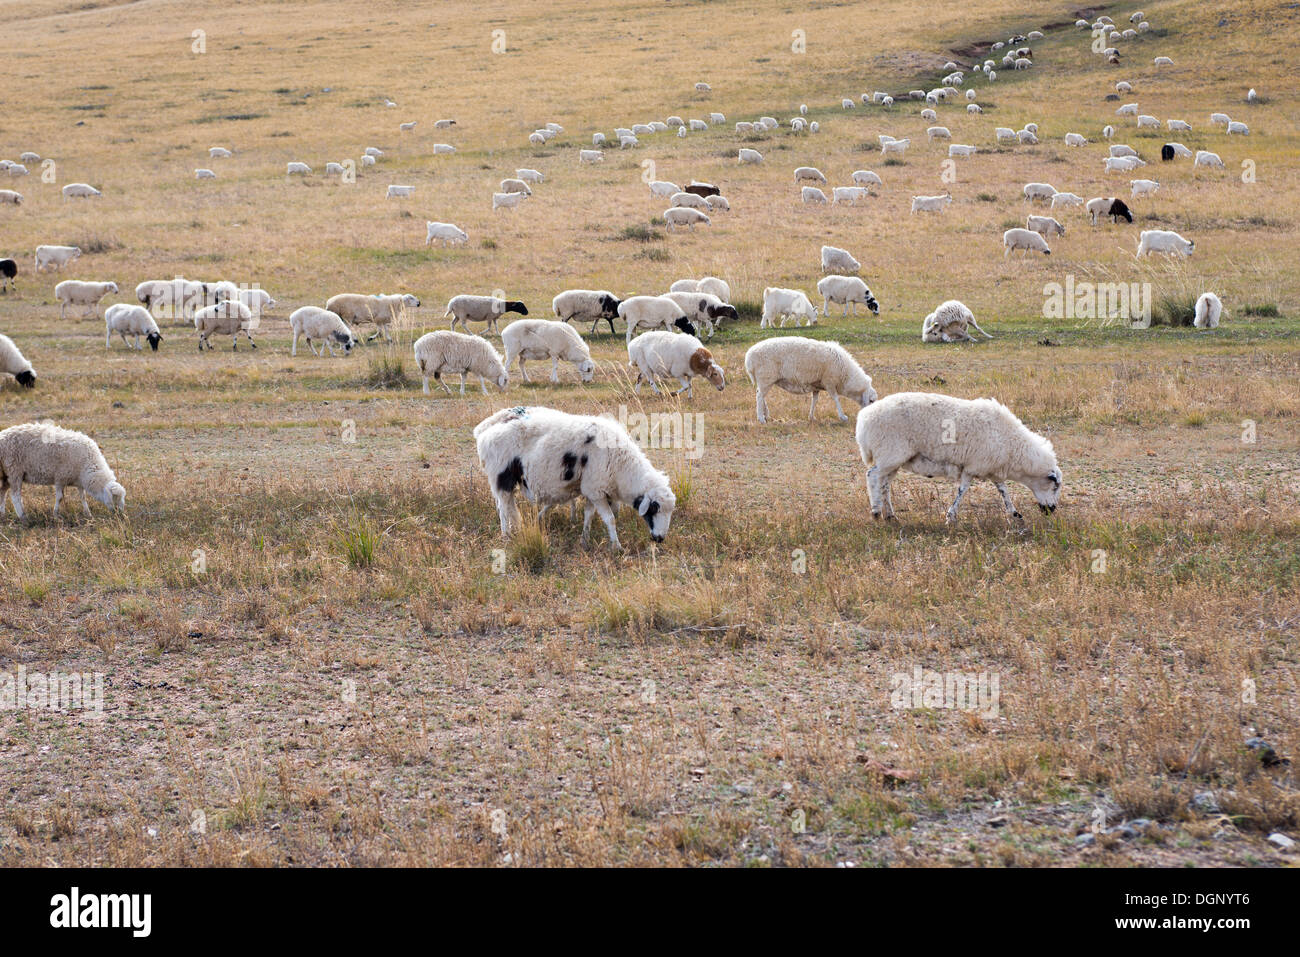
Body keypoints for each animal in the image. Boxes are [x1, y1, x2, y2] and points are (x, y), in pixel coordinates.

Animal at [473, 406, 675, 549]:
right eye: (654, 508)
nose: (660, 538)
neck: (622, 466)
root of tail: (484, 432)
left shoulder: (591, 490)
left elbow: (589, 515)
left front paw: (585, 539)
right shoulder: (596, 490)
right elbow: (610, 519)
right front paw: (617, 546)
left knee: (505, 506)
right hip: (501, 476)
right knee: (503, 509)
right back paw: (506, 536)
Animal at [744, 337, 876, 424]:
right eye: (871, 400)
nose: (868, 416)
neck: (846, 374)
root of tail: (749, 357)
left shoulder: (816, 385)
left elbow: (815, 400)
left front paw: (811, 417)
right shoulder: (829, 381)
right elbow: (836, 399)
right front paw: (843, 417)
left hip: (765, 380)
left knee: (760, 395)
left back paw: (766, 414)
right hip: (766, 376)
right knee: (759, 396)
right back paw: (761, 418)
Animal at [856, 392, 1062, 522]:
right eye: (1055, 485)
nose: (1051, 510)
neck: (1014, 448)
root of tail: (864, 419)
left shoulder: (990, 468)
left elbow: (1003, 491)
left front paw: (1015, 514)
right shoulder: (973, 466)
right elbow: (963, 490)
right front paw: (951, 517)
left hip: (893, 459)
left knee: (884, 484)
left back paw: (890, 515)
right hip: (890, 453)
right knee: (872, 476)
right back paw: (876, 512)